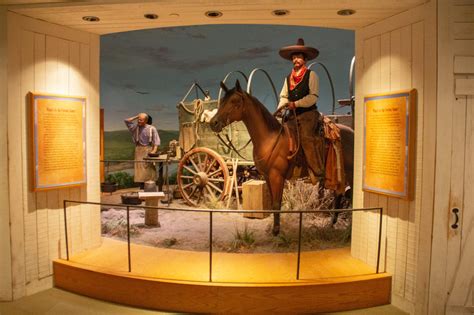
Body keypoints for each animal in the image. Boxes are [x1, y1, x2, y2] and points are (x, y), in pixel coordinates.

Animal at [210, 80, 352, 236]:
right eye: (222, 101)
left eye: (234, 101)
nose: (213, 123)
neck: (270, 139)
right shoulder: (267, 176)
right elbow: (273, 202)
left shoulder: (277, 176)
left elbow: (277, 203)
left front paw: (276, 230)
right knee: (339, 193)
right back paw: (332, 223)